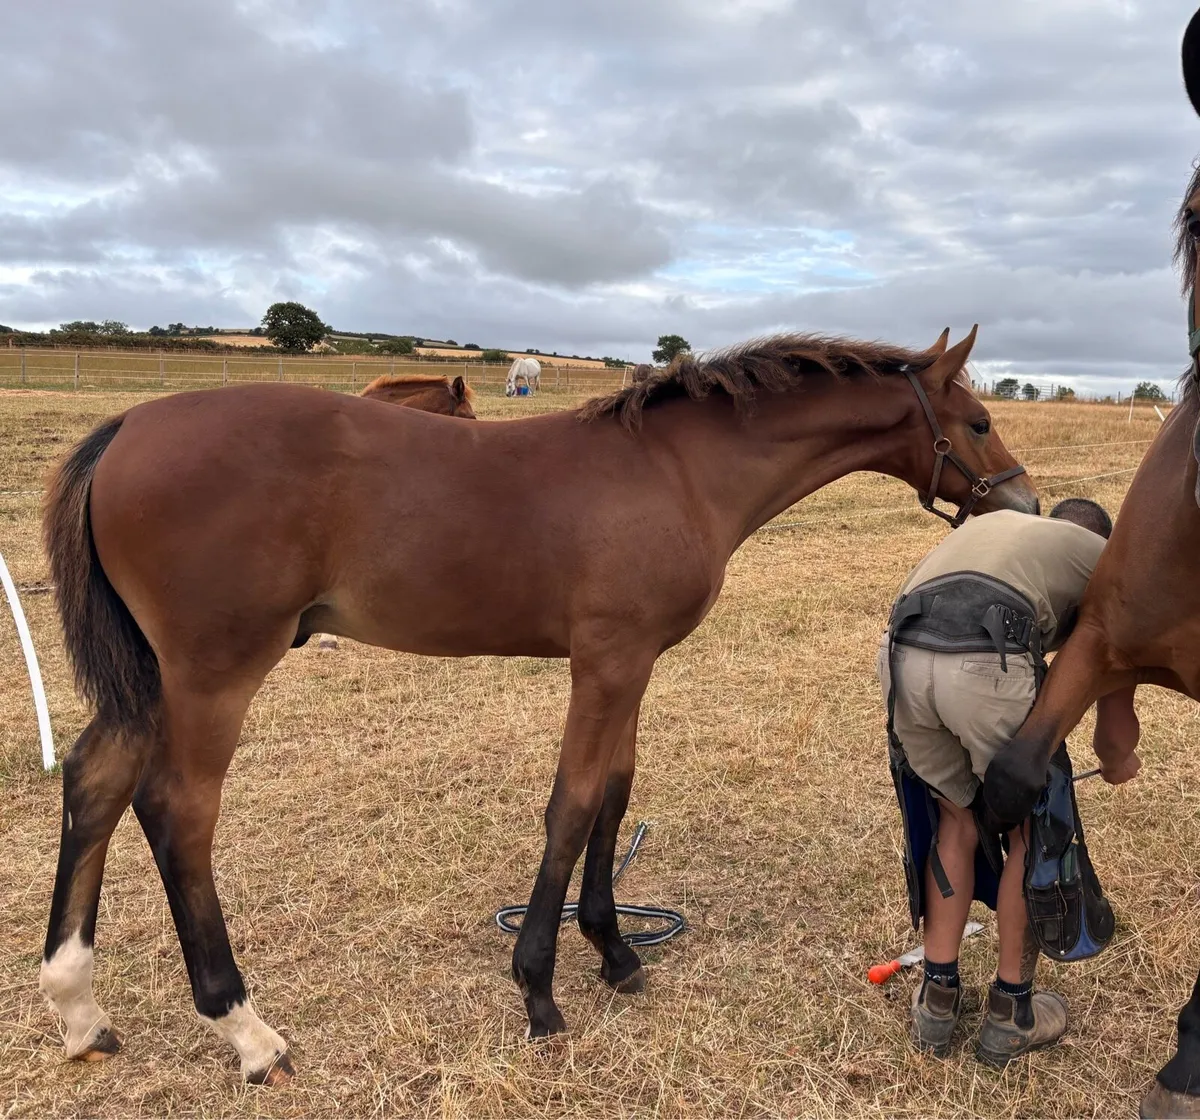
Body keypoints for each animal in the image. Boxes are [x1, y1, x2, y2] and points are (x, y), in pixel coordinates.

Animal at [39, 326, 1037, 1085]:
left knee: (94, 781)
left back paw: (79, 1008)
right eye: (979, 421)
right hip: (212, 676)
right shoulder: (605, 665)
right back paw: (245, 1029)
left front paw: (616, 952)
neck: (675, 470)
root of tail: (125, 428)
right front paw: (540, 990)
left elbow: (614, 799)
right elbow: (572, 804)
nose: (1024, 499)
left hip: (151, 680)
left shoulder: (633, 665)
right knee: (179, 815)